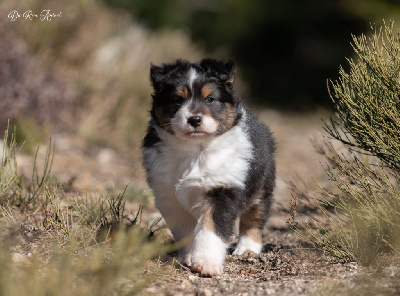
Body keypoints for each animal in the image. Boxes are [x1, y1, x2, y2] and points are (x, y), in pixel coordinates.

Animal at [142, 59, 276, 276]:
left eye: (210, 99)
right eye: (177, 99)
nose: (195, 119)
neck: (195, 150)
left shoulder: (222, 190)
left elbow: (211, 228)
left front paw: (206, 263)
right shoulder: (168, 195)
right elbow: (184, 229)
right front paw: (189, 257)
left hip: (262, 184)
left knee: (254, 217)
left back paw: (247, 249)